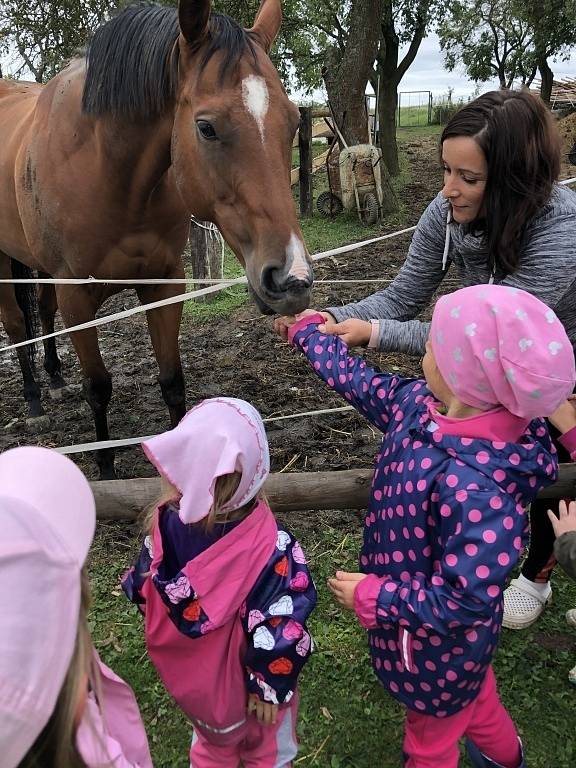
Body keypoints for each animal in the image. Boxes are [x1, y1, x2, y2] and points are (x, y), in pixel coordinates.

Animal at [0, 0, 310, 476]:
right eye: (206, 127)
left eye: (293, 121)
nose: (291, 278)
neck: (106, 170)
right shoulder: (76, 296)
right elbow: (98, 386)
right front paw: (106, 470)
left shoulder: (164, 283)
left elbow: (171, 379)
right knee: (18, 325)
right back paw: (34, 402)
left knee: (42, 312)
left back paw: (54, 380)